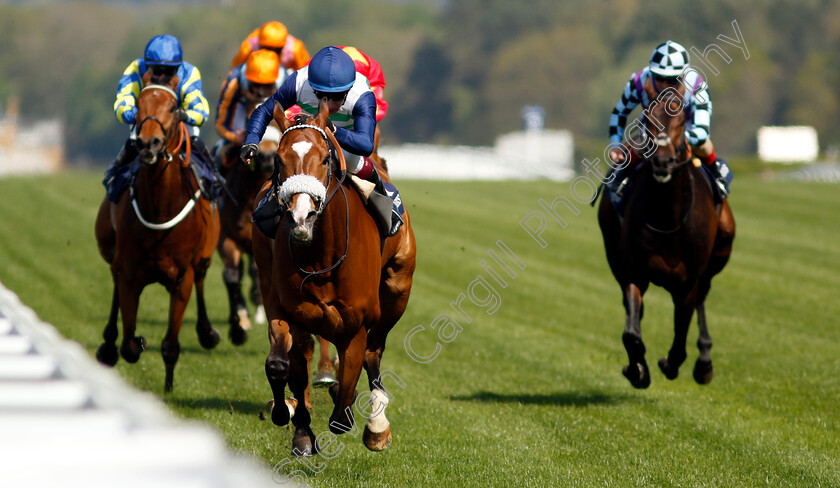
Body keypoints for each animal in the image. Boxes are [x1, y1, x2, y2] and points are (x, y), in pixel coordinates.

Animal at [93, 78, 221, 394]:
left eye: (173, 107)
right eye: (139, 103)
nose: (148, 143)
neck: (161, 209)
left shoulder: (182, 276)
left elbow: (171, 344)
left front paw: (169, 389)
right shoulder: (129, 272)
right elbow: (129, 344)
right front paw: (135, 341)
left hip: (204, 256)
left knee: (202, 277)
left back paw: (207, 332)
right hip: (110, 251)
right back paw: (108, 344)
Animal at [253, 101, 416, 456]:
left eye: (325, 158)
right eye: (278, 160)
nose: (302, 217)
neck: (322, 256)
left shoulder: (355, 322)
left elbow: (342, 408)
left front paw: (360, 414)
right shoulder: (291, 312)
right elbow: (282, 366)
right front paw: (294, 424)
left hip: (397, 290)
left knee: (374, 351)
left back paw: (377, 426)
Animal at [596, 80, 736, 390]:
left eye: (682, 120)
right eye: (647, 119)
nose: (662, 162)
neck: (668, 219)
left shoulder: (688, 280)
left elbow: (681, 337)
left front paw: (670, 363)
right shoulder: (634, 271)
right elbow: (631, 332)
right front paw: (637, 369)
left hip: (717, 256)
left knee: (702, 299)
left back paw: (704, 362)